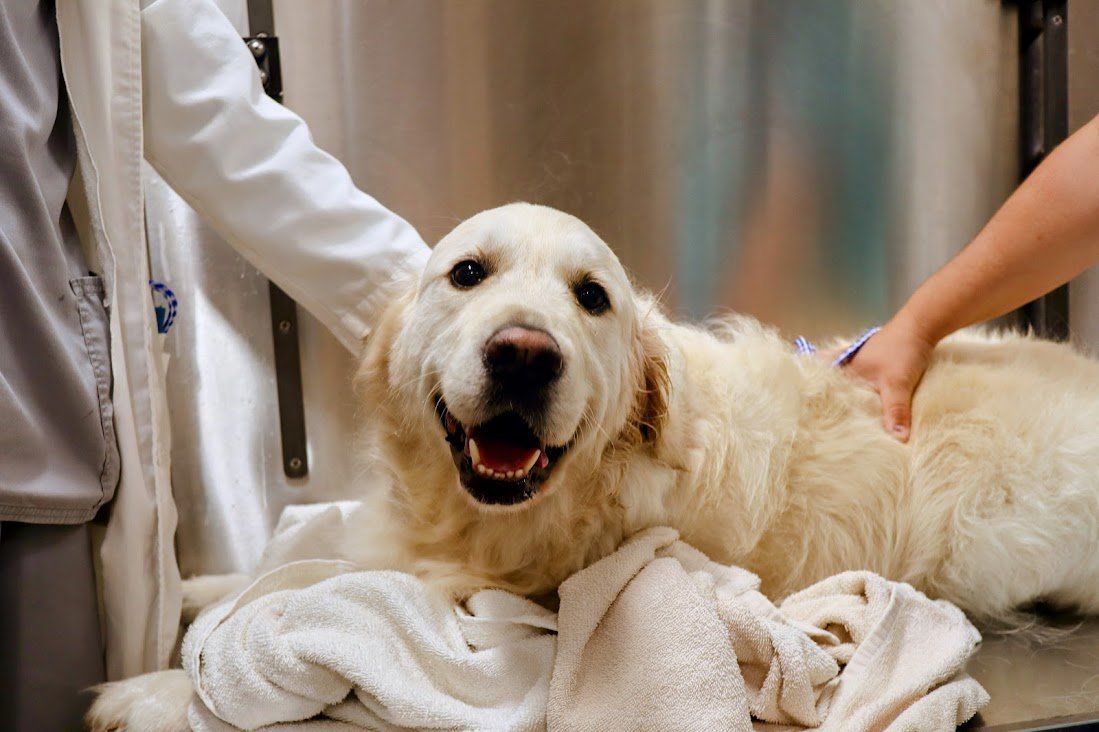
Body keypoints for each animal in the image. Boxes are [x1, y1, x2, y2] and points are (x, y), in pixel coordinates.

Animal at [88, 202, 1099, 729]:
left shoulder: (488, 586)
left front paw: (153, 687)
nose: (524, 356)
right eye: (467, 273)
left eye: (592, 297)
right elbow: (311, 559)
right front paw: (201, 588)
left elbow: (333, 584)